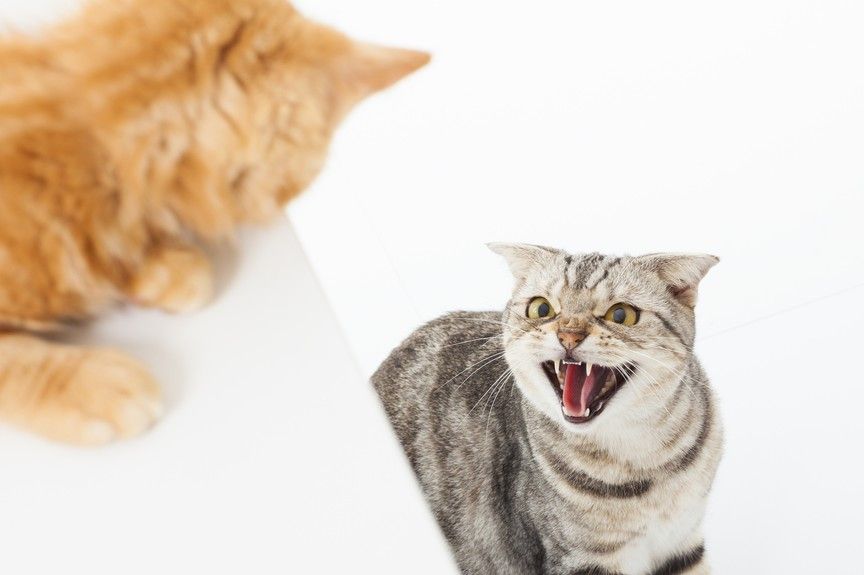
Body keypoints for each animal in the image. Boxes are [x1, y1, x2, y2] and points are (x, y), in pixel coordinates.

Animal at [372, 244, 722, 575]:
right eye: (541, 308)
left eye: (621, 315)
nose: (568, 335)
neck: (643, 459)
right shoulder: (582, 559)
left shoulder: (681, 542)